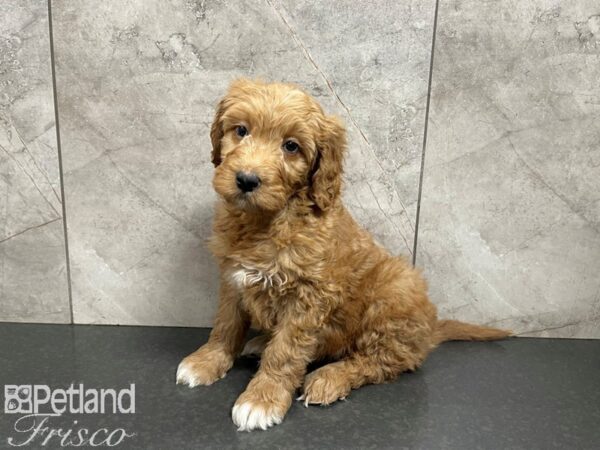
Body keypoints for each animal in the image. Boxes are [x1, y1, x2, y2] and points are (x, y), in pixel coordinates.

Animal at [175, 80, 510, 432]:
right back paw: (260, 343)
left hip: (395, 291)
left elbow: (285, 351)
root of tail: (429, 330)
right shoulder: (232, 278)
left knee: (382, 361)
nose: (246, 180)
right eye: (241, 130)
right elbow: (225, 324)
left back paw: (330, 378)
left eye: (291, 146)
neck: (264, 221)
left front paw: (263, 398)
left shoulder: (308, 297)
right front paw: (207, 360)